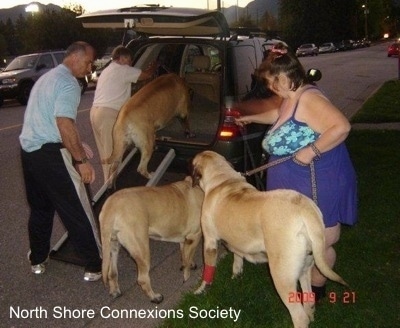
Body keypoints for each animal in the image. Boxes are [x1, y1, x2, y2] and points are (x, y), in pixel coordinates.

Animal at [190, 151, 346, 328]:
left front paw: (202, 289)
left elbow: (208, 271)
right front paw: (236, 273)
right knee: (309, 300)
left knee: (299, 315)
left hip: (282, 276)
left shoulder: (209, 242)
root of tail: (305, 209)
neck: (222, 178)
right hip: (306, 268)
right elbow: (238, 254)